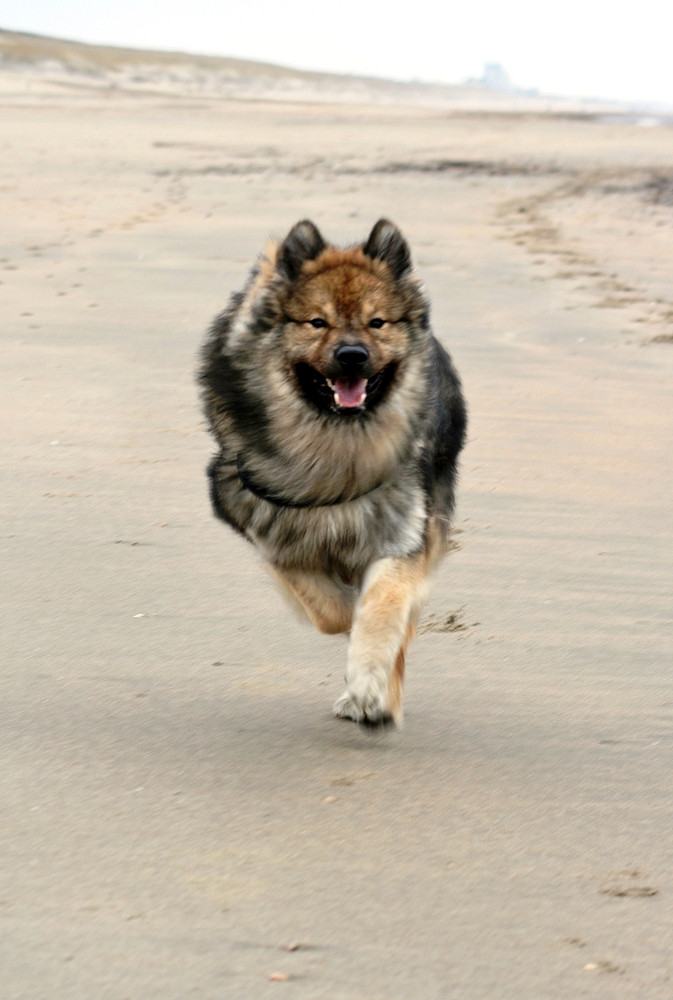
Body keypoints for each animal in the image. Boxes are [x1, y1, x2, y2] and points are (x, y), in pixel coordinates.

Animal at [197, 219, 464, 724]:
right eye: (317, 323)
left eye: (377, 322)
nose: (352, 355)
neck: (336, 447)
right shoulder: (274, 533)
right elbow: (330, 611)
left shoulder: (401, 535)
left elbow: (381, 610)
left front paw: (370, 688)